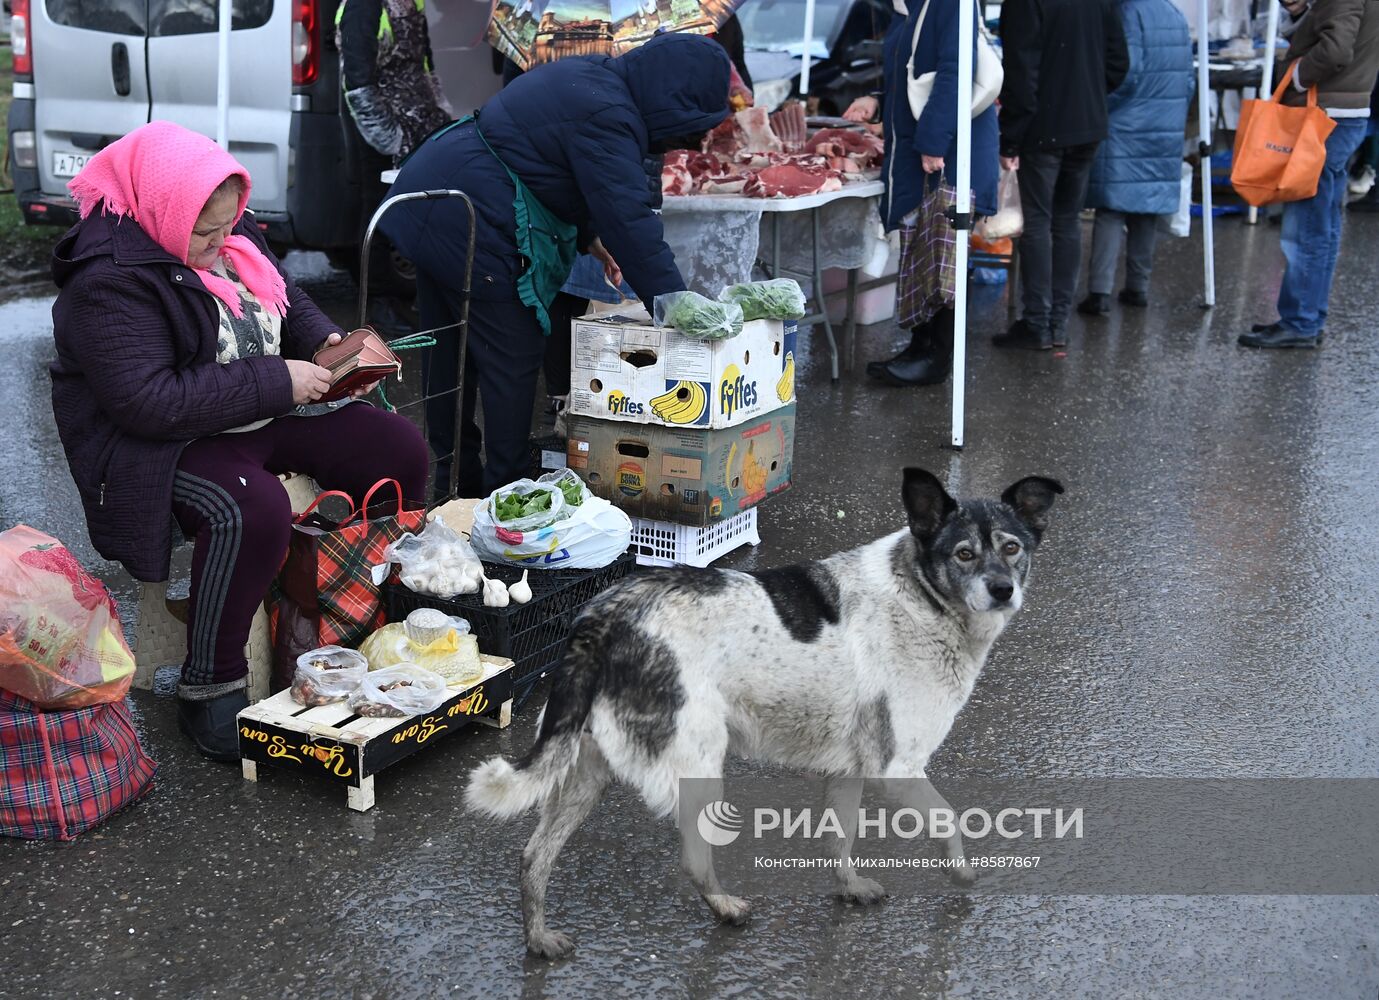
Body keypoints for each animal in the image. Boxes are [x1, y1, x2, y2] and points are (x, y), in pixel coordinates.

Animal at [468, 468, 1059, 954]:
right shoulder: (898, 769)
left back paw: (540, 939)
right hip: (699, 762)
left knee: (534, 856)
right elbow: (949, 819)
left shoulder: (849, 771)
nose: (1003, 590)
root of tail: (601, 615)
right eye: (964, 553)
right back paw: (727, 909)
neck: (921, 593)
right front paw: (962, 876)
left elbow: (838, 838)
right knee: (693, 858)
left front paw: (848, 887)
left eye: (1012, 547)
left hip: (585, 770)